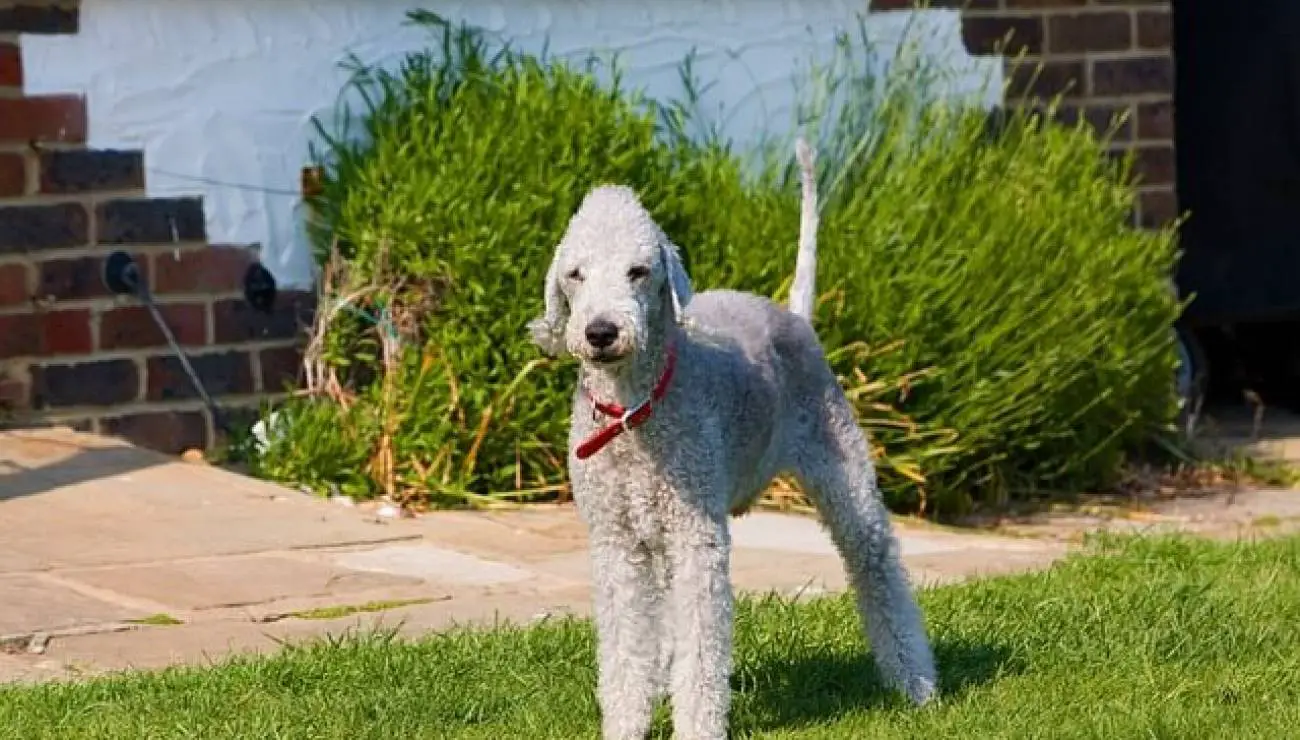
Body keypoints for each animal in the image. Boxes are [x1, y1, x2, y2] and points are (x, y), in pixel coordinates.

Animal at [527, 141, 935, 733]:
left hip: (842, 469)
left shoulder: (698, 536)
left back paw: (917, 683)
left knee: (876, 563)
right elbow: (626, 648)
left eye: (638, 271)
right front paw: (625, 725)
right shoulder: (617, 542)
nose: (600, 332)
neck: (635, 413)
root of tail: (793, 316)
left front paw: (697, 727)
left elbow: (702, 649)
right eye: (575, 274)